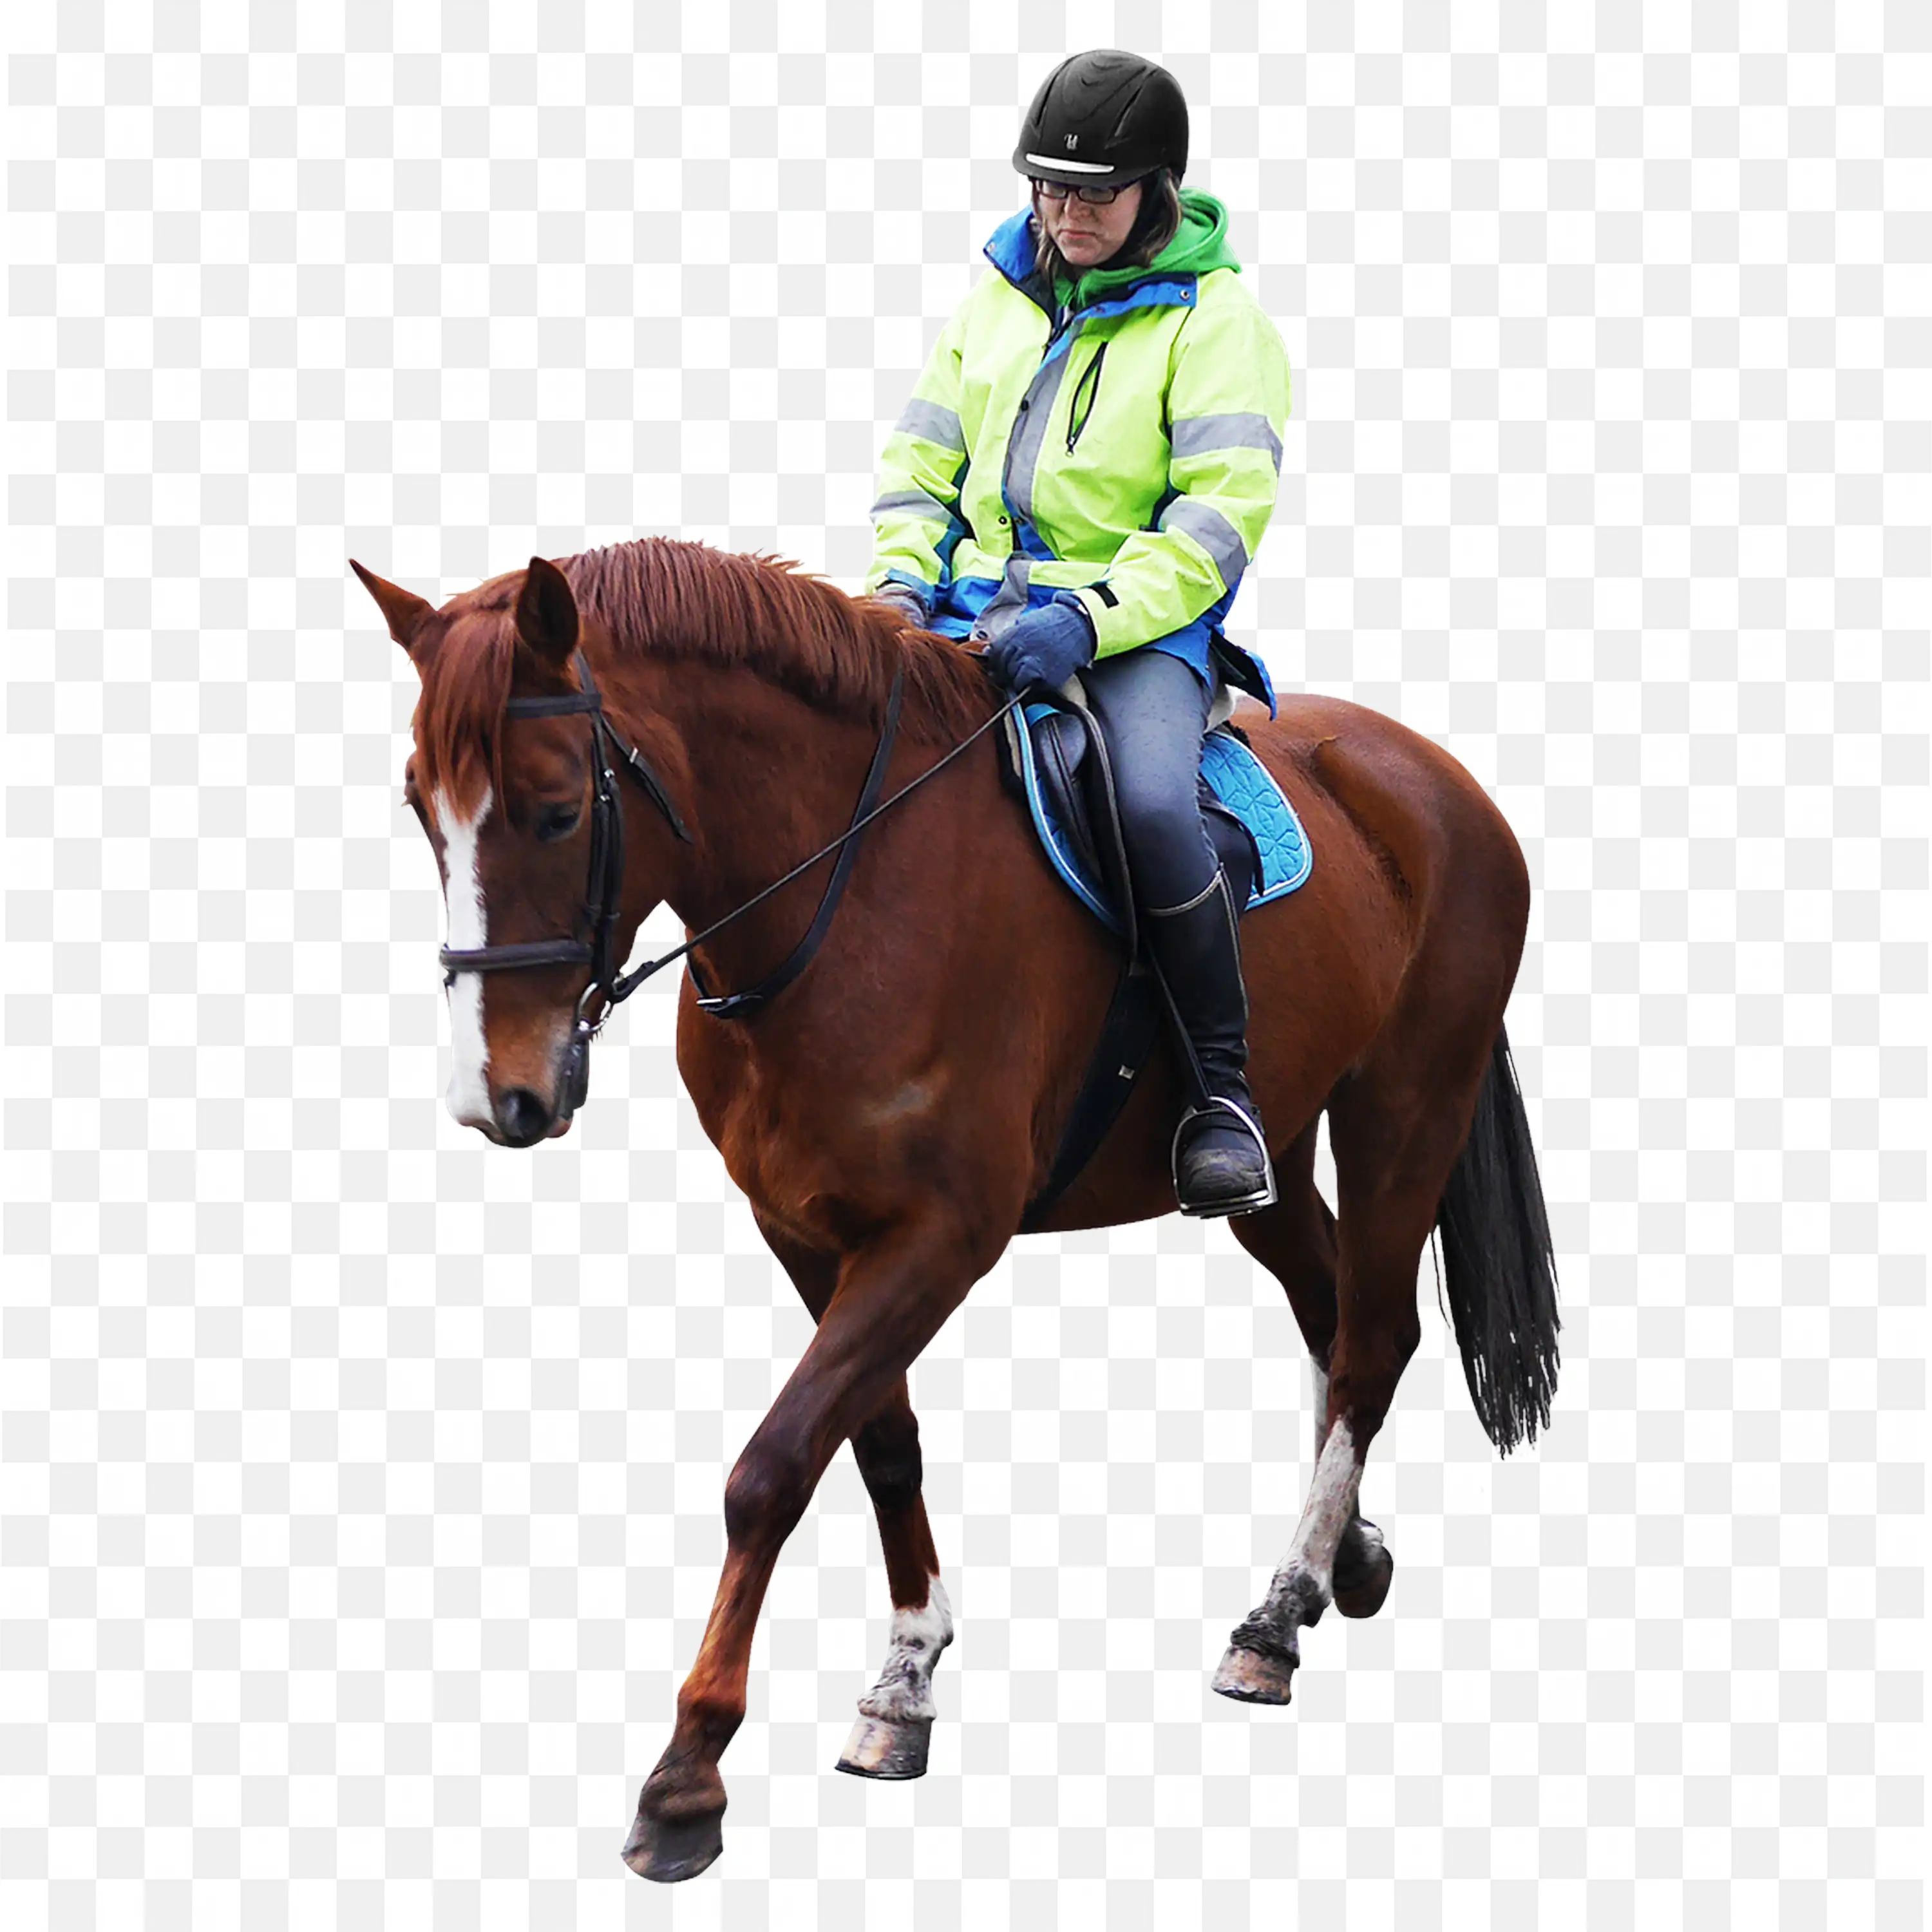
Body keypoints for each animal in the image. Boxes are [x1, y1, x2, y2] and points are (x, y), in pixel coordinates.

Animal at [349, 536, 1561, 1885]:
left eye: (559, 808)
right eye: (420, 806)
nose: (498, 1096)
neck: (848, 886)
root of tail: (1435, 778)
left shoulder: (940, 1238)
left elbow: (774, 1465)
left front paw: (688, 1778)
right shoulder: (807, 1230)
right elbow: (877, 1444)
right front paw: (905, 1681)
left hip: (1408, 1105)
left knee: (1370, 1339)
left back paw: (1277, 1619)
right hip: (1276, 1148)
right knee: (1335, 1303)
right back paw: (1344, 1553)